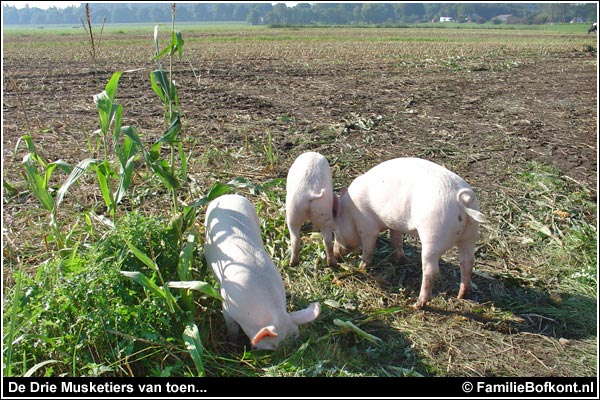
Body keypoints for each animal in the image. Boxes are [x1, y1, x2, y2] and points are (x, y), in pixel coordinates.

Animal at [204, 194, 322, 350]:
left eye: (296, 337)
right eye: (273, 346)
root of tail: (227, 196)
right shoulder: (227, 307)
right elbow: (232, 329)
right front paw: (232, 345)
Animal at [336, 158, 486, 308]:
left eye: (335, 231)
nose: (336, 255)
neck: (350, 213)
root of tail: (461, 200)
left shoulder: (367, 226)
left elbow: (368, 249)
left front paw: (361, 267)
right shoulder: (394, 223)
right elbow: (396, 240)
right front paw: (402, 260)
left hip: (433, 235)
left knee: (431, 270)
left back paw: (417, 305)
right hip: (470, 234)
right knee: (467, 261)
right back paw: (462, 295)